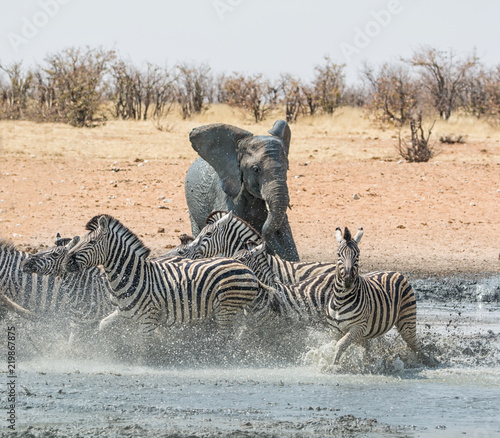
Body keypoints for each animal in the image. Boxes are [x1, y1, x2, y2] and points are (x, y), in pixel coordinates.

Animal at [62, 215, 262, 336]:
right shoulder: (123, 313)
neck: (133, 275)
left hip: (225, 309)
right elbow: (103, 326)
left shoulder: (149, 319)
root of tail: (241, 265)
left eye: (91, 242)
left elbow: (145, 350)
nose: (66, 261)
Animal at [326, 228, 420, 364]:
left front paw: (332, 365)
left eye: (357, 255)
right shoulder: (334, 330)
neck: (340, 300)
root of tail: (394, 271)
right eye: (339, 254)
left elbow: (340, 345)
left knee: (414, 344)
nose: (348, 280)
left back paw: (422, 361)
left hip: (407, 320)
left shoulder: (358, 327)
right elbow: (332, 345)